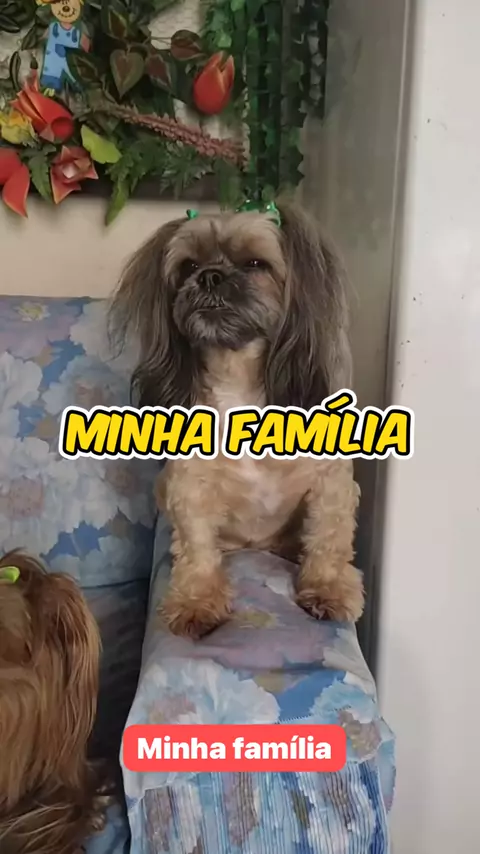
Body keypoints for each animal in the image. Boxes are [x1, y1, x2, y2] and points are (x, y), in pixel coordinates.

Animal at [109, 202, 364, 639]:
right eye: (189, 264)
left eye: (256, 263)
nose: (209, 275)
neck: (239, 379)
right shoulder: (188, 487)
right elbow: (197, 547)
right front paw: (197, 602)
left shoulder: (331, 481)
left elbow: (328, 536)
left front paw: (326, 589)